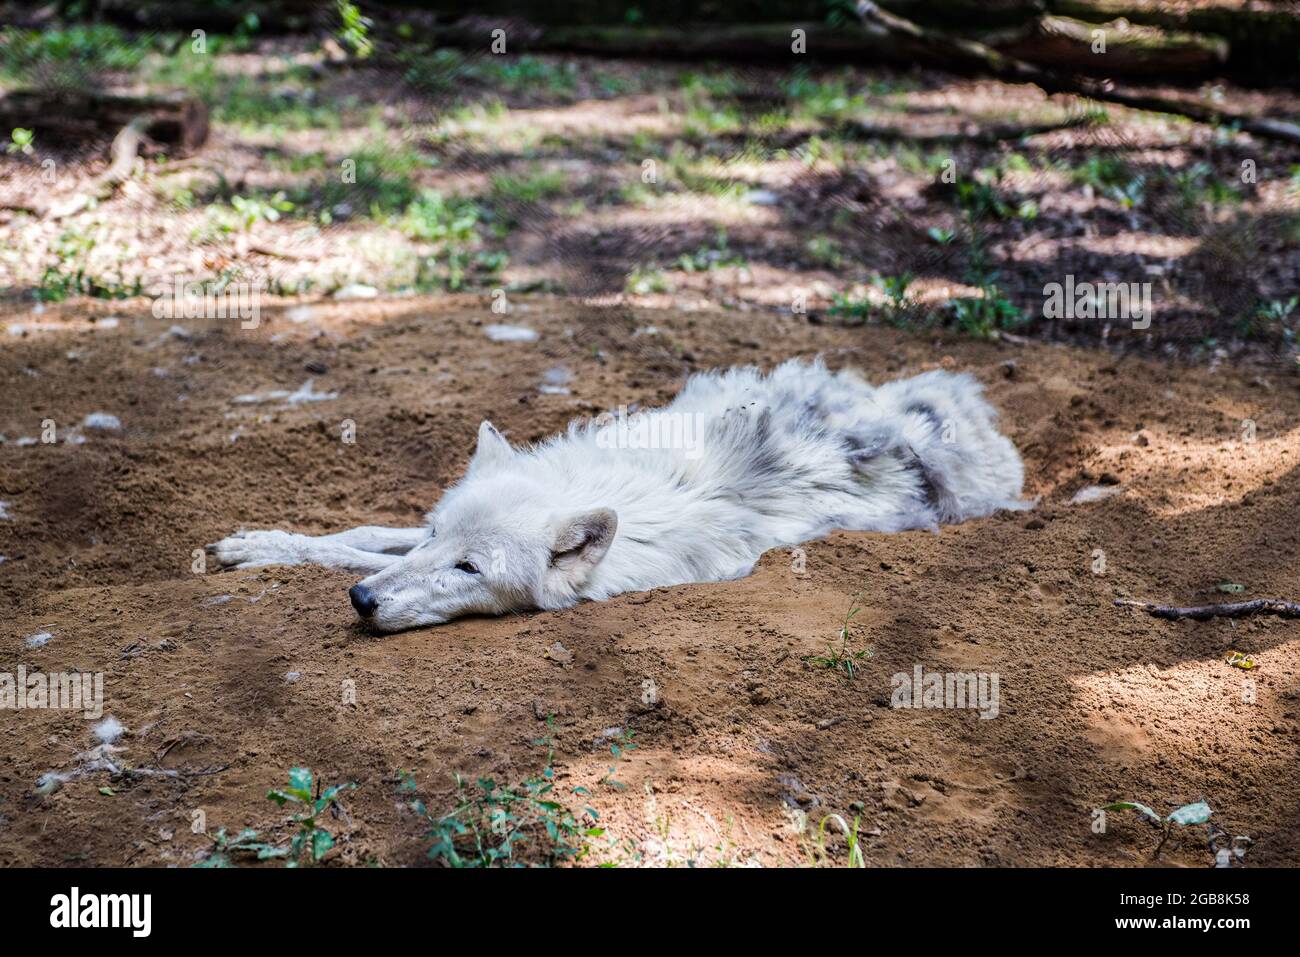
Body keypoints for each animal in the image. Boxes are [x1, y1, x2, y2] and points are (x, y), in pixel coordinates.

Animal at [205, 356, 1024, 631]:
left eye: (471, 570)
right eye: (440, 539)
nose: (364, 604)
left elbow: (360, 551)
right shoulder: (402, 535)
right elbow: (360, 538)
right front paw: (259, 545)